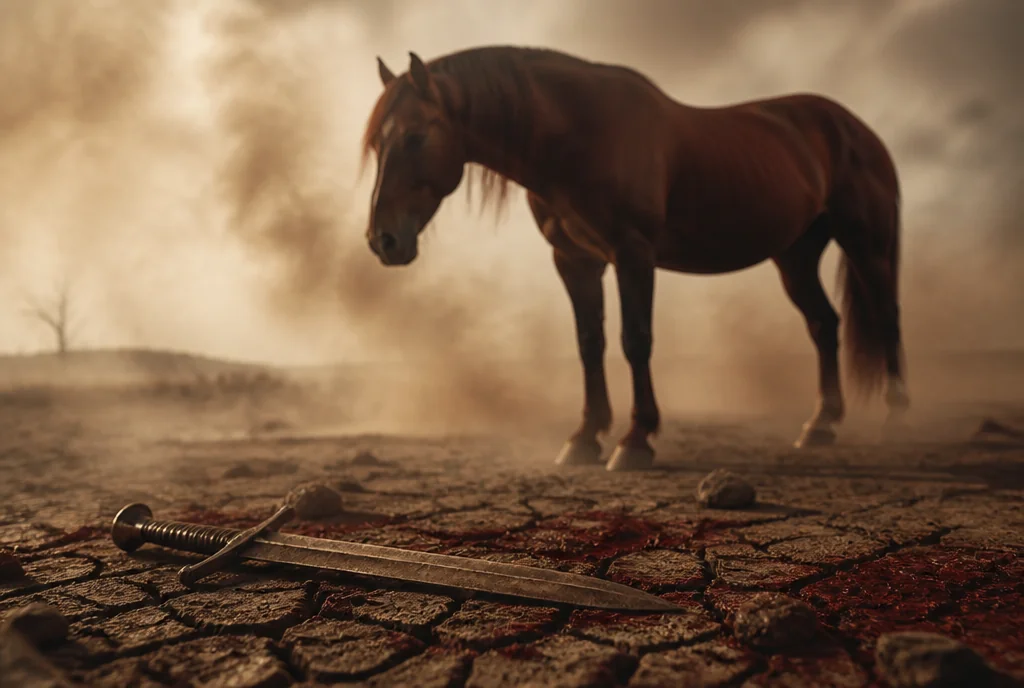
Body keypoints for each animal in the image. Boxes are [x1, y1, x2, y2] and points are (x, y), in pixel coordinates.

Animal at [361, 46, 909, 471]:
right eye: (378, 143)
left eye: (415, 136)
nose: (382, 240)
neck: (579, 134)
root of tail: (855, 128)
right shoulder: (574, 261)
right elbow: (589, 343)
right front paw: (584, 438)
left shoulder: (633, 253)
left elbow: (635, 340)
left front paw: (635, 440)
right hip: (794, 256)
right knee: (823, 324)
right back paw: (821, 424)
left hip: (866, 244)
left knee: (885, 316)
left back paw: (895, 416)